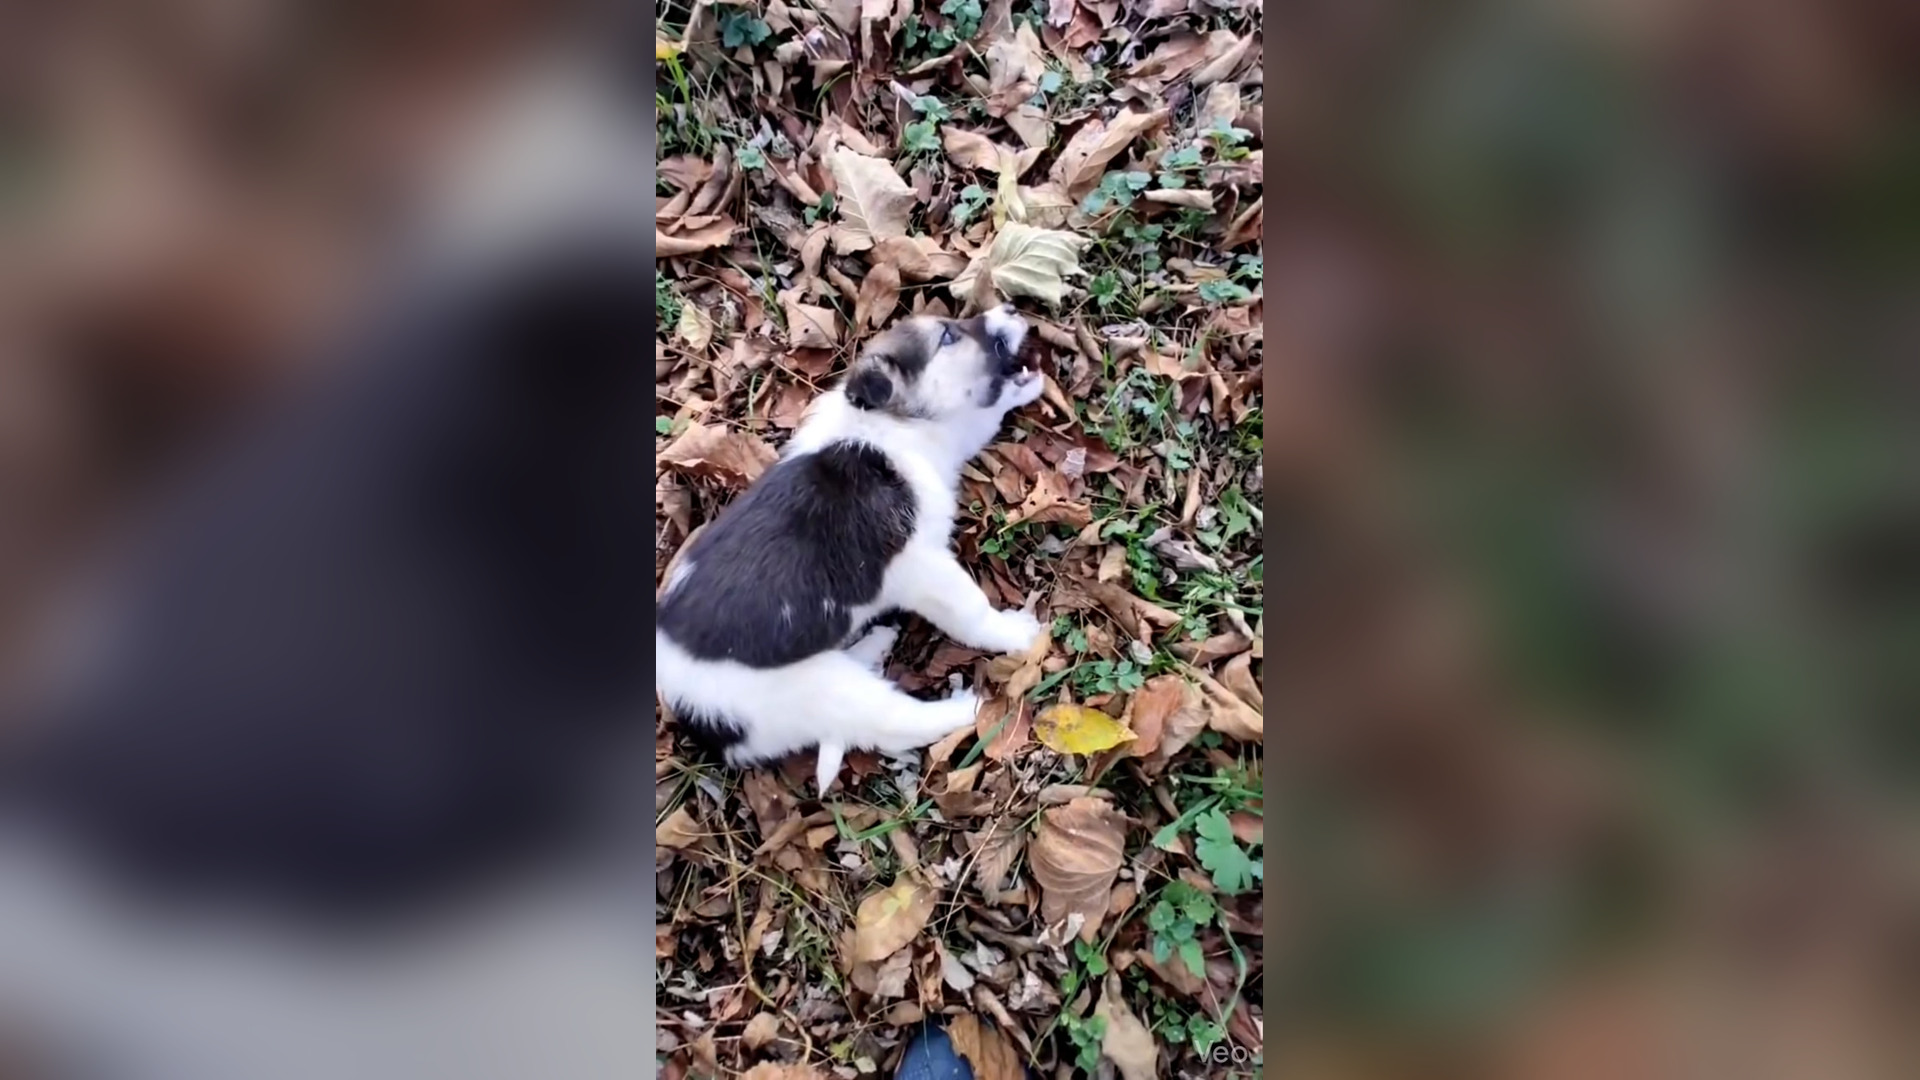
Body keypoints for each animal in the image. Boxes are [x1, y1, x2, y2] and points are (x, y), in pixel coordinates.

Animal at [656, 307, 1048, 794]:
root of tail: (707, 731)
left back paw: (874, 643)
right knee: (895, 721)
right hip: (827, 692)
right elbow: (971, 611)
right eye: (947, 335)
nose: (1010, 309)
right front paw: (1015, 633)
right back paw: (966, 708)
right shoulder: (921, 567)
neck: (894, 430)